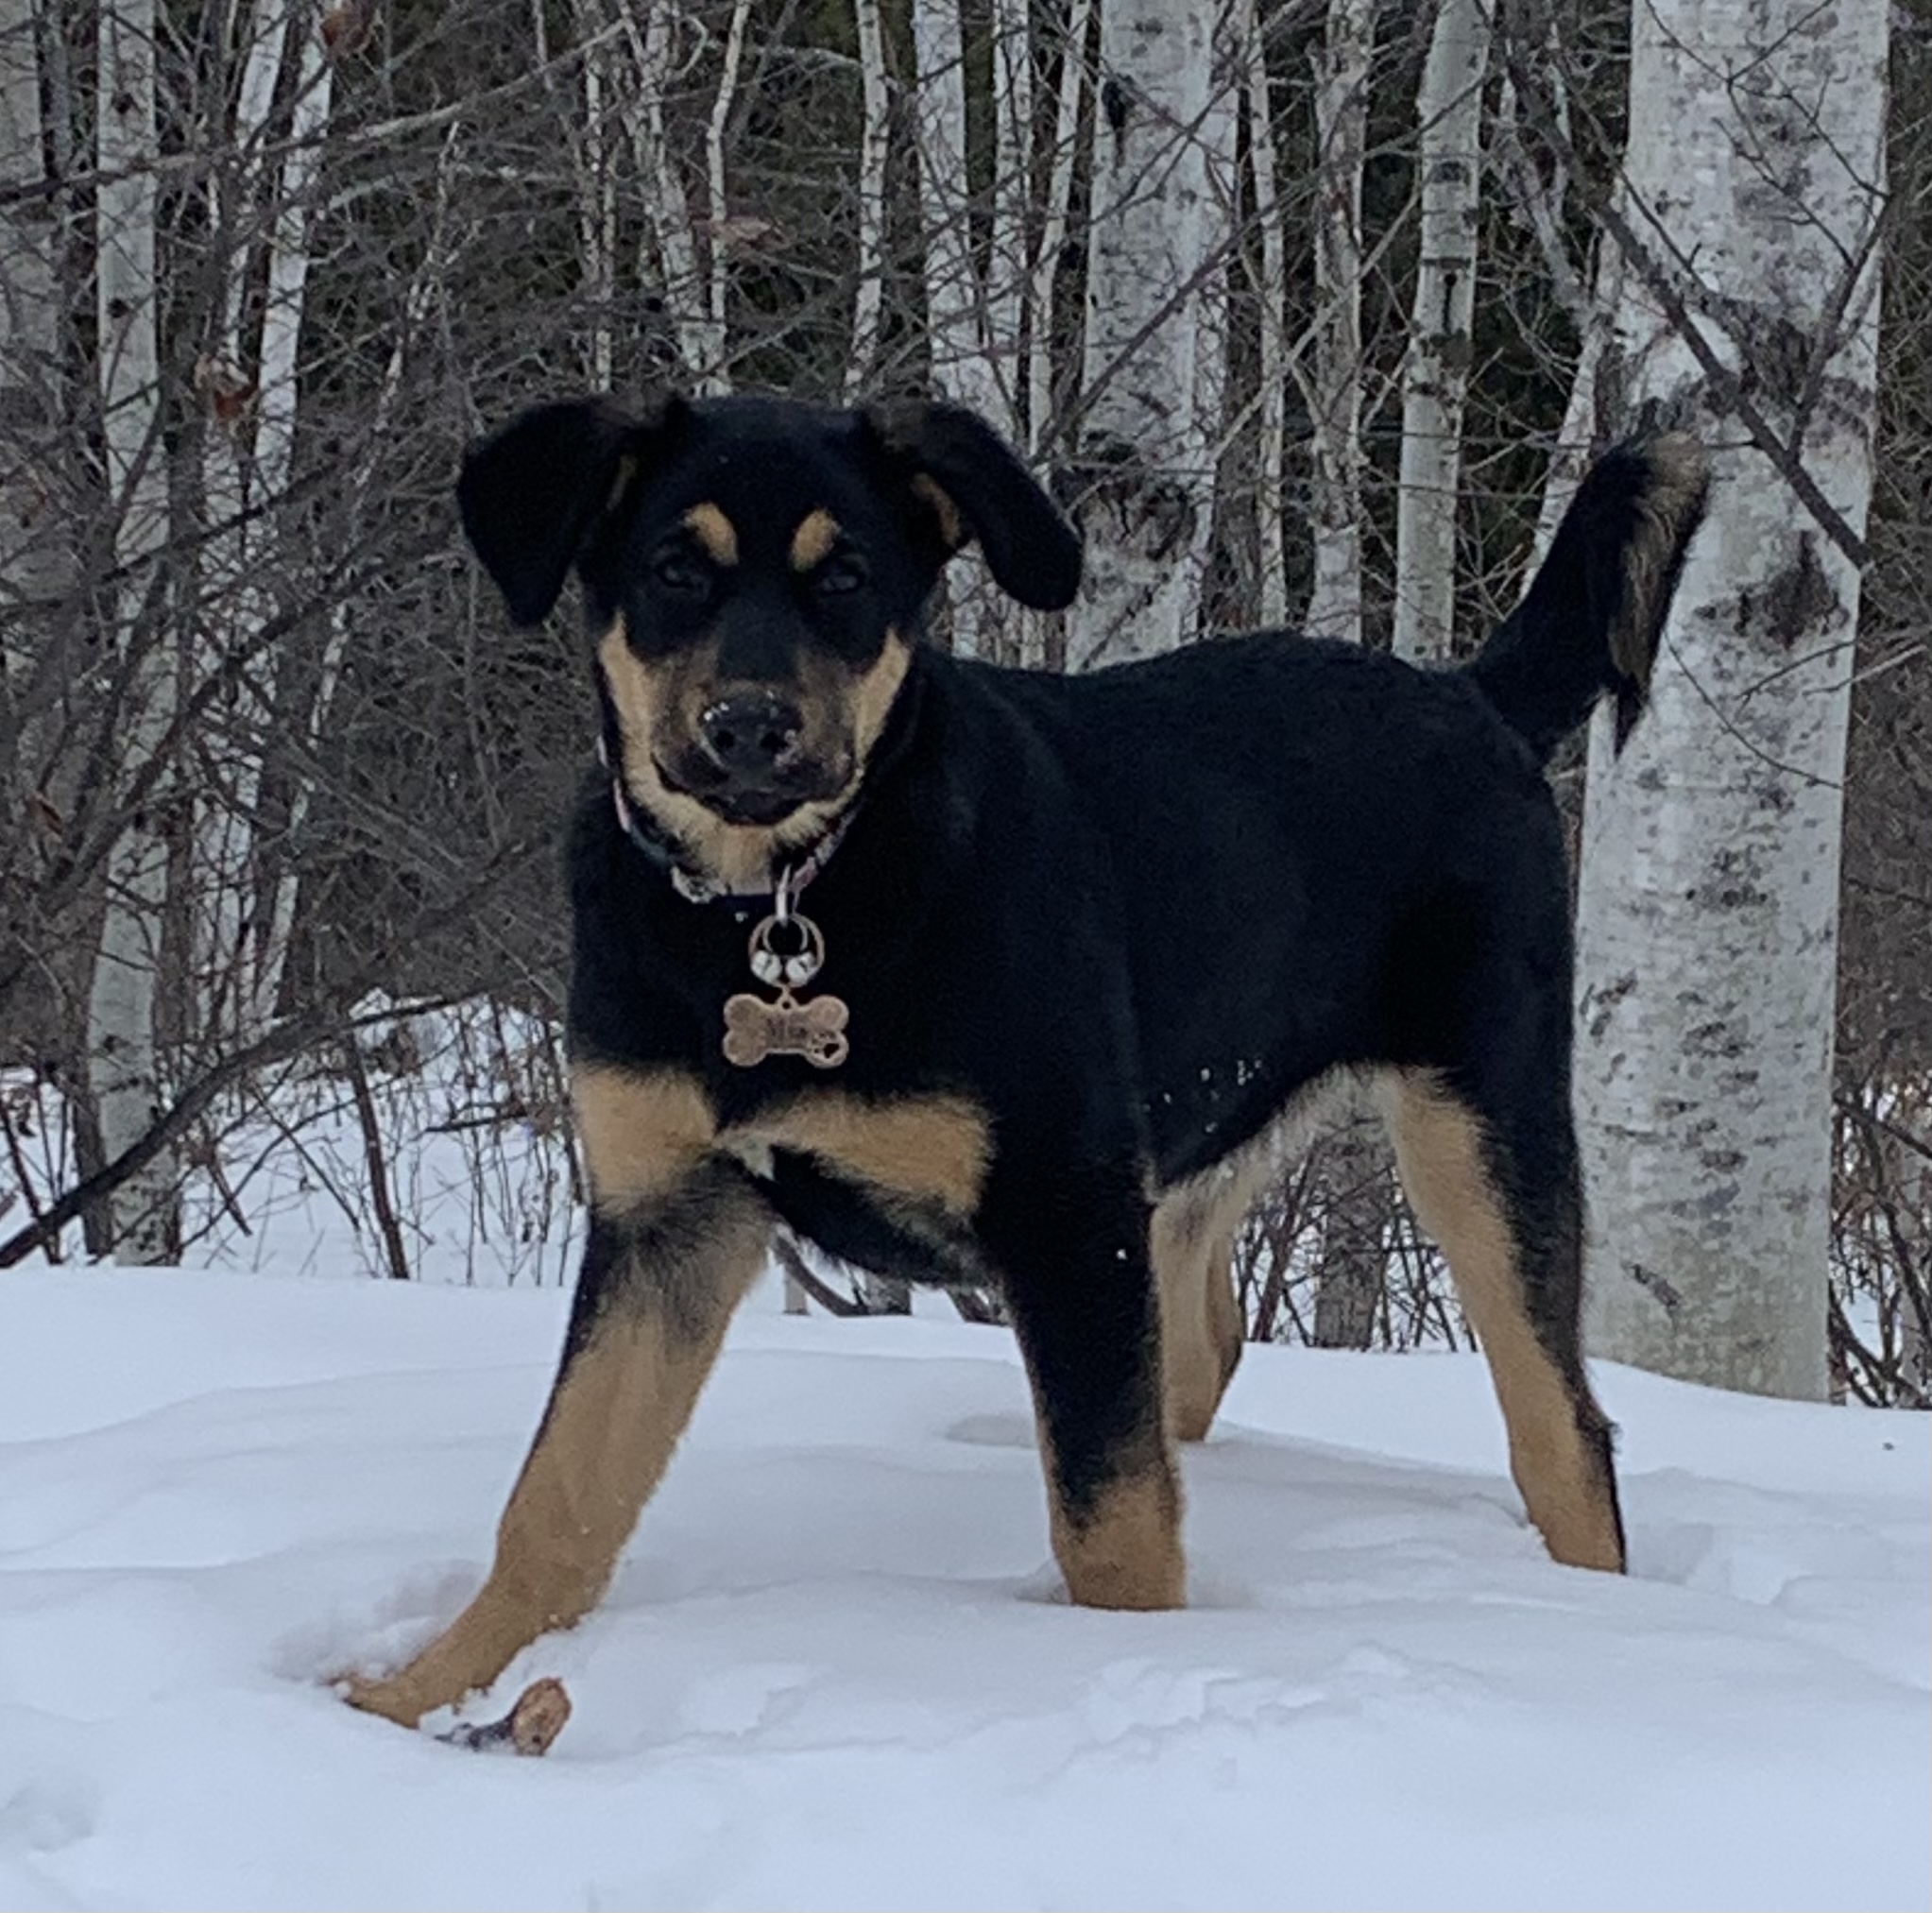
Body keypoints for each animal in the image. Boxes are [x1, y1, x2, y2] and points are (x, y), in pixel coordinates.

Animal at [345, 392, 1707, 1728]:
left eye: (848, 579)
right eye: (675, 569)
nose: (749, 729)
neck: (781, 905)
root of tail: (1471, 695)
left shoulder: (1062, 1215)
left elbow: (1111, 1522)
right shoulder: (669, 1206)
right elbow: (559, 1495)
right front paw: (416, 1695)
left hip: (1474, 1122)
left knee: (1560, 1429)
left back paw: (1596, 1621)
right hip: (1185, 1146)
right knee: (1204, 1346)